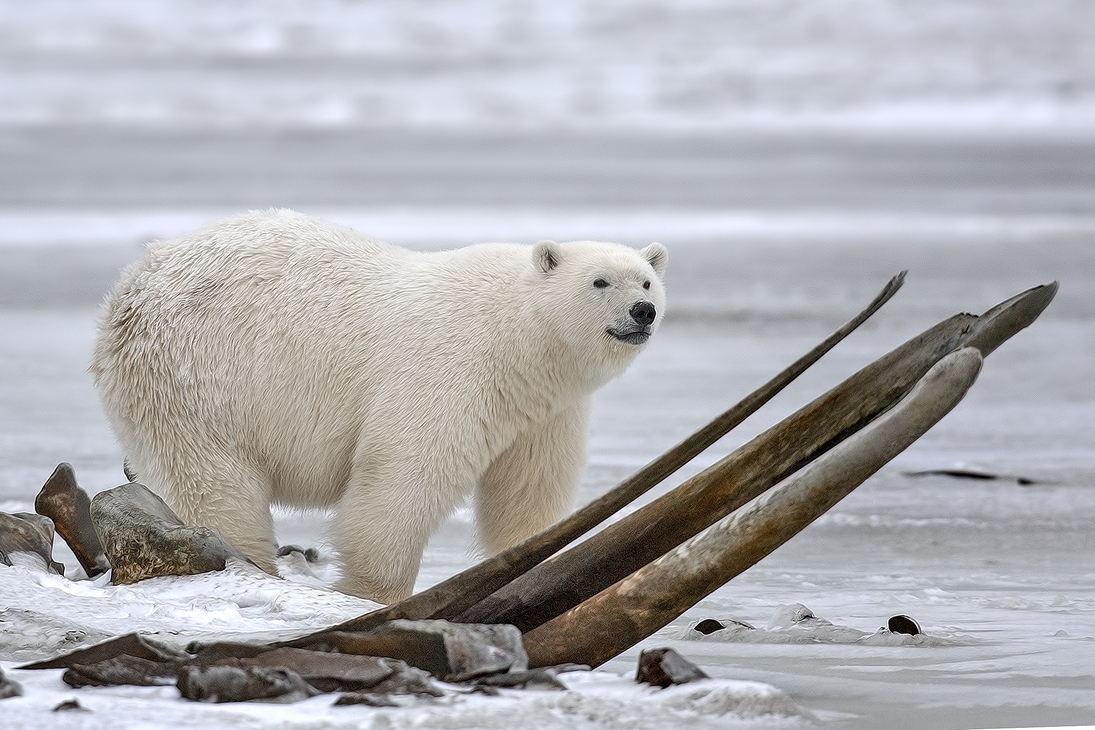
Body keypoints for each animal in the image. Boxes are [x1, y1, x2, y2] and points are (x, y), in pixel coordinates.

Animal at [89, 207, 665, 604]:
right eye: (599, 281)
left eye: (647, 278)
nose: (644, 311)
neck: (520, 337)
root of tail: (128, 288)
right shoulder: (449, 368)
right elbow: (400, 482)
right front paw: (374, 596)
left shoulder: (545, 409)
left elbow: (528, 491)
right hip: (196, 378)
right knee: (215, 487)